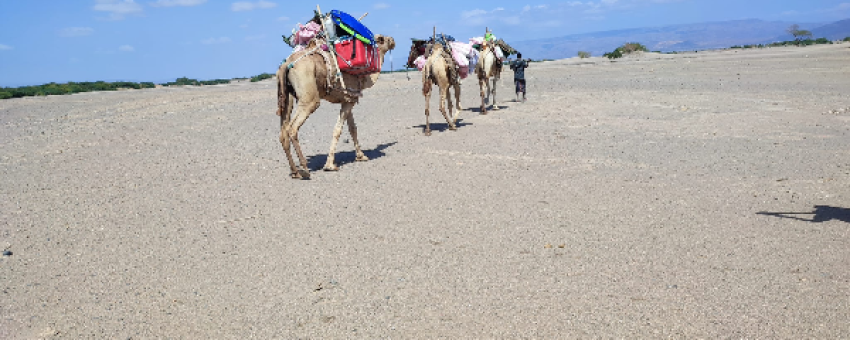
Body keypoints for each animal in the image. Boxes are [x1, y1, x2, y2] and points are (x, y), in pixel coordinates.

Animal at [278, 34, 398, 178]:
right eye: (383, 39)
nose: (393, 41)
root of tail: (286, 64)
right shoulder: (349, 99)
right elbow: (338, 130)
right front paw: (330, 165)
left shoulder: (348, 99)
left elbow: (352, 128)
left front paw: (361, 156)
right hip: (309, 96)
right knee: (293, 128)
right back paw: (305, 168)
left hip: (287, 96)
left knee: (283, 131)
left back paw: (295, 171)